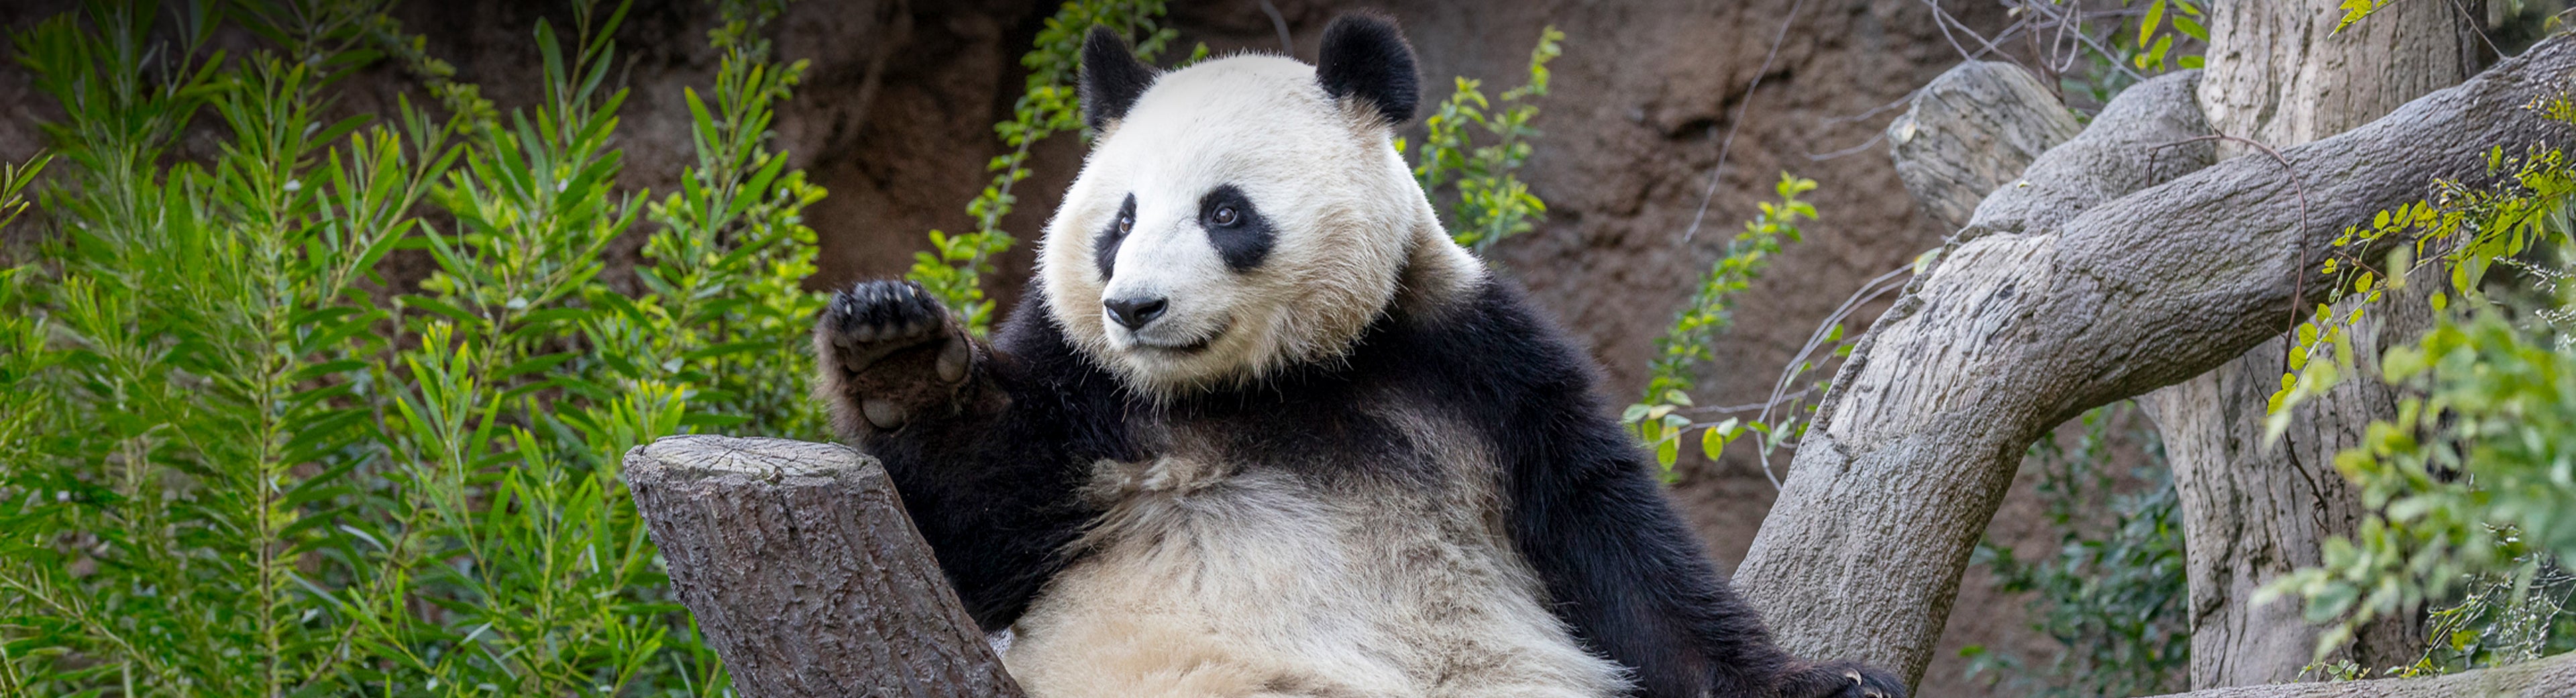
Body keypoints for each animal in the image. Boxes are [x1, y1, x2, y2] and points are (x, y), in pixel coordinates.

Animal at [812, 12, 1905, 698]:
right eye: (1118, 221)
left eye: (1224, 212)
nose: (1134, 308)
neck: (1260, 386)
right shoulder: (1081, 391)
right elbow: (980, 529)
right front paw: (894, 348)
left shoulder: (1470, 362)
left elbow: (1616, 545)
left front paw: (1830, 680)